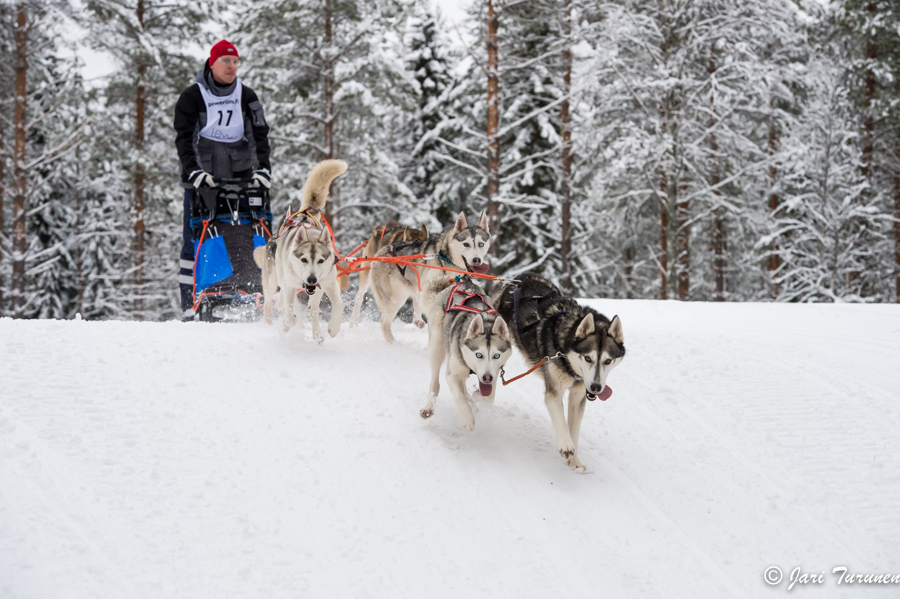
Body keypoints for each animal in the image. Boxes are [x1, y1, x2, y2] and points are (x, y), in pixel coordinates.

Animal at [256, 159, 352, 340]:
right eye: (303, 259)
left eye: (321, 260)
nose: (312, 279)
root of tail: (305, 213)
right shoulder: (288, 284)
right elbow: (289, 310)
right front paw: (289, 322)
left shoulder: (328, 282)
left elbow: (339, 304)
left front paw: (333, 327)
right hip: (273, 281)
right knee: (270, 304)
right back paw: (271, 323)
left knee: (313, 309)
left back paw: (317, 333)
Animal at [368, 211, 488, 344]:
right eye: (466, 244)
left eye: (481, 244)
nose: (477, 260)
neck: (445, 261)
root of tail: (382, 251)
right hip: (395, 299)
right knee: (384, 321)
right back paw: (393, 343)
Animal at [418, 276, 510, 432]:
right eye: (479, 355)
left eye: (496, 356)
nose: (487, 378)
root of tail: (464, 281)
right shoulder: (452, 374)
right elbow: (459, 396)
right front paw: (467, 418)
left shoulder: (495, 373)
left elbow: (488, 397)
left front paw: (477, 397)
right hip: (437, 347)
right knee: (435, 383)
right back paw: (429, 407)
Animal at [492, 274, 624, 474]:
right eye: (587, 358)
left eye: (608, 361)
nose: (596, 387)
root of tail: (522, 278)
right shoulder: (554, 393)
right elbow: (561, 421)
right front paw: (566, 446)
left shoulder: (578, 396)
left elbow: (574, 430)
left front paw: (575, 461)